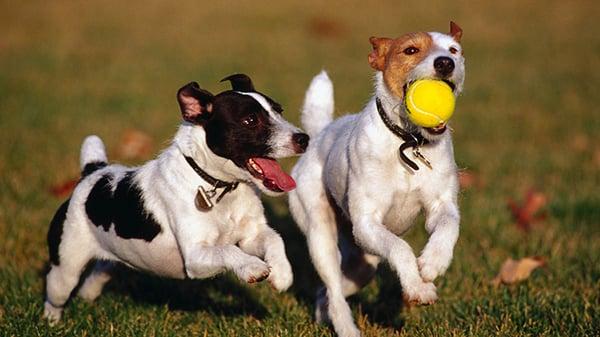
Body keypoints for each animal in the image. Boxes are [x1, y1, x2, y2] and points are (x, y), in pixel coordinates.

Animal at [43, 74, 310, 322]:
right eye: (251, 120)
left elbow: (275, 239)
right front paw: (253, 267)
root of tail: (93, 171)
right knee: (55, 294)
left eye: (279, 111)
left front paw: (282, 274)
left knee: (98, 272)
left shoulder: (250, 237)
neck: (219, 187)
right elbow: (227, 250)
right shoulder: (196, 256)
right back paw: (51, 321)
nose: (304, 139)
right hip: (66, 268)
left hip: (112, 256)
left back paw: (87, 296)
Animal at [288, 22, 466, 334]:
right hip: (321, 234)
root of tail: (320, 133)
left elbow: (447, 226)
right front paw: (418, 288)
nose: (445, 62)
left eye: (454, 50)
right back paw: (347, 329)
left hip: (363, 262)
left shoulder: (440, 205)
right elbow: (401, 248)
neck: (408, 142)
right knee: (333, 289)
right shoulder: (367, 223)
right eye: (410, 50)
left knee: (329, 292)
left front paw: (433, 263)